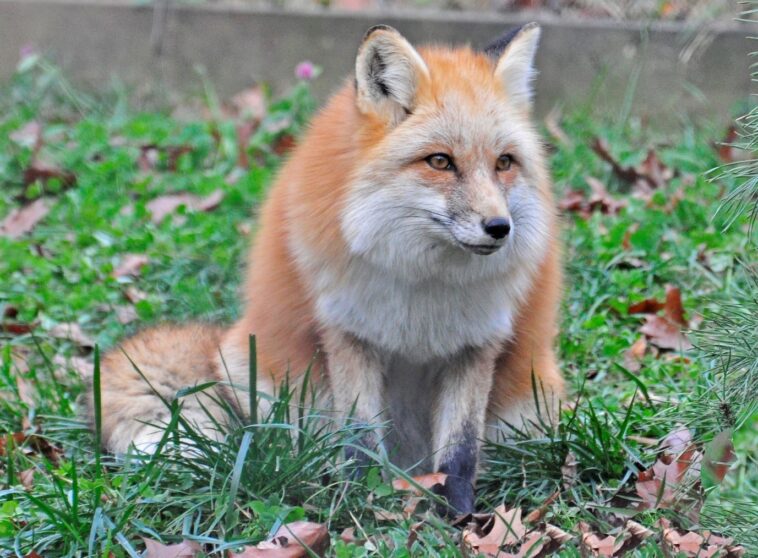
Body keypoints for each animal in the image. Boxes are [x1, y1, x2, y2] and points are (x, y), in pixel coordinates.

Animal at [83, 23, 564, 515]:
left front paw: (459, 515)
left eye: (504, 162)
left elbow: (461, 450)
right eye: (440, 161)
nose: (499, 228)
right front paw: (361, 502)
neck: (424, 287)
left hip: (538, 407)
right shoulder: (348, 332)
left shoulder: (478, 343)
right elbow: (360, 438)